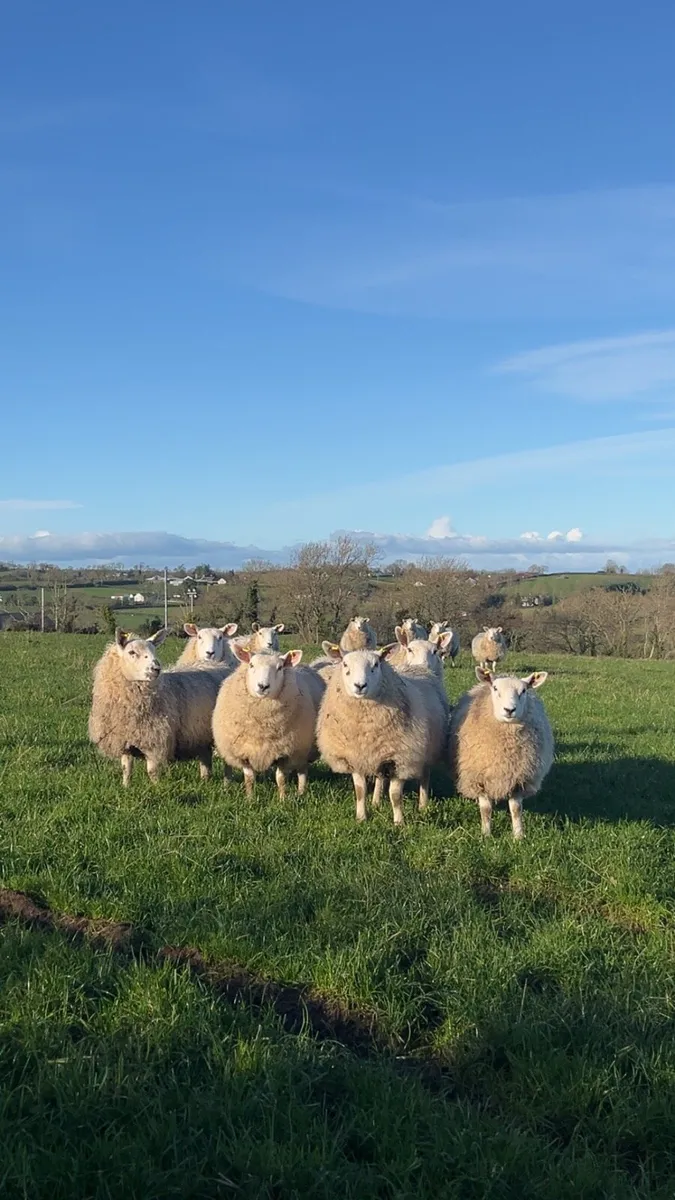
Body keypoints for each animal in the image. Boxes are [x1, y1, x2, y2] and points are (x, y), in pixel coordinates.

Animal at [88, 628, 227, 786]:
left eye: (154, 650)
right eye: (131, 652)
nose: (156, 668)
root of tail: (221, 665)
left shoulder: (155, 740)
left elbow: (152, 771)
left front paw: (156, 787)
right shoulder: (124, 740)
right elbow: (126, 768)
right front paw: (126, 786)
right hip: (200, 734)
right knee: (205, 756)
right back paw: (205, 779)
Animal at [211, 645, 325, 798]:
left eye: (280, 667)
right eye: (251, 664)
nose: (263, 686)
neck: (262, 725)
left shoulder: (285, 752)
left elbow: (280, 778)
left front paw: (282, 799)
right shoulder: (245, 751)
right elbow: (249, 778)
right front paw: (250, 798)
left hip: (302, 750)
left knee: (302, 771)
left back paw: (301, 792)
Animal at [316, 645, 446, 825]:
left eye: (376, 664)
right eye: (345, 664)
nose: (360, 685)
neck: (365, 730)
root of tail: (419, 668)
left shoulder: (401, 758)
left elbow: (395, 795)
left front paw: (399, 823)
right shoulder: (357, 756)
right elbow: (360, 791)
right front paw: (361, 817)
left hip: (427, 748)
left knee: (425, 777)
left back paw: (423, 804)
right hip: (380, 752)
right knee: (380, 778)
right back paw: (376, 802)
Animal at [448, 668, 554, 839]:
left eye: (524, 690)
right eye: (495, 688)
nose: (509, 710)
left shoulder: (518, 779)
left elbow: (516, 809)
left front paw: (518, 836)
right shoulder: (480, 778)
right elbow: (486, 810)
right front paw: (486, 835)